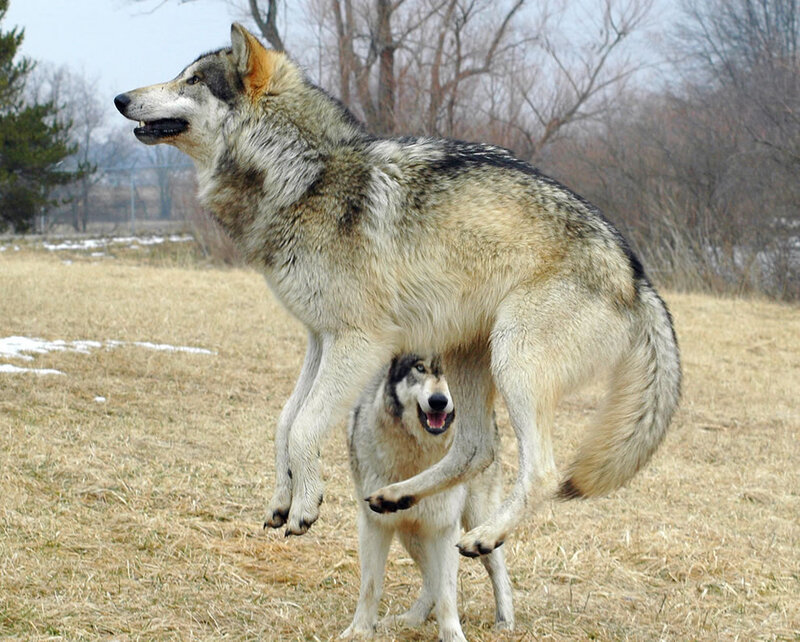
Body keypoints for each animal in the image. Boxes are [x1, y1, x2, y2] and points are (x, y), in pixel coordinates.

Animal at [114, 23, 681, 557]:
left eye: (191, 81)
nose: (120, 99)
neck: (303, 173)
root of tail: (637, 275)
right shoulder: (319, 339)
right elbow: (284, 421)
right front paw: (282, 499)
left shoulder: (359, 343)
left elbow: (304, 427)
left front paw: (305, 506)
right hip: (468, 360)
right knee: (476, 449)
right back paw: (396, 496)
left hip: (514, 363)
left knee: (540, 467)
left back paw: (486, 537)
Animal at [343, 354, 514, 640]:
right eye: (420, 368)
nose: (438, 401)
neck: (418, 463)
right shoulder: (374, 525)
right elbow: (371, 585)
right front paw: (359, 630)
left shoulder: (444, 529)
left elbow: (447, 594)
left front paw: (453, 635)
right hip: (410, 534)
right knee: (430, 579)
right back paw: (410, 619)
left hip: (477, 522)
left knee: (498, 569)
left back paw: (506, 621)